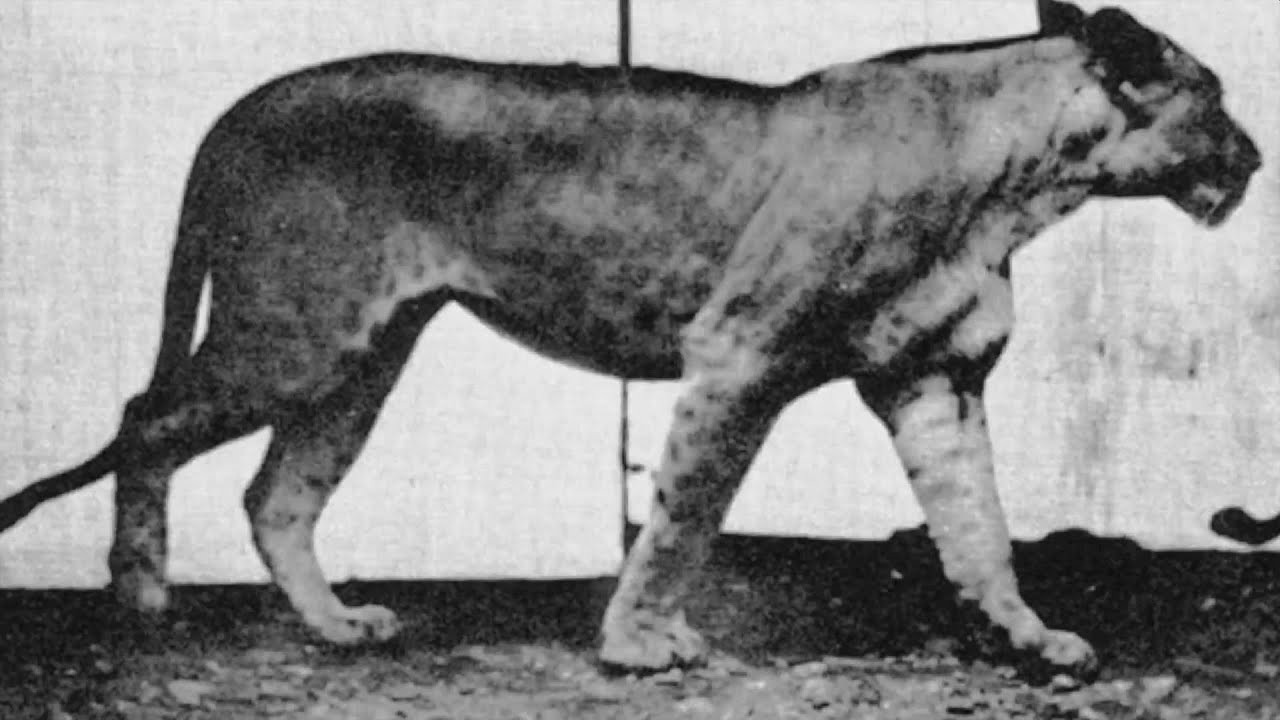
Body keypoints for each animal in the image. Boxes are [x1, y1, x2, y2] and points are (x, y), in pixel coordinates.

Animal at [0, 0, 1261, 675]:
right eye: (1215, 98)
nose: (1253, 159)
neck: (1021, 180)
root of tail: (239, 108)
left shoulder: (932, 381)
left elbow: (978, 525)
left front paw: (1027, 636)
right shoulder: (739, 352)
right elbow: (686, 512)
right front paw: (640, 645)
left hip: (365, 352)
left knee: (275, 494)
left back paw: (335, 624)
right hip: (295, 330)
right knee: (145, 419)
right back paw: (140, 598)